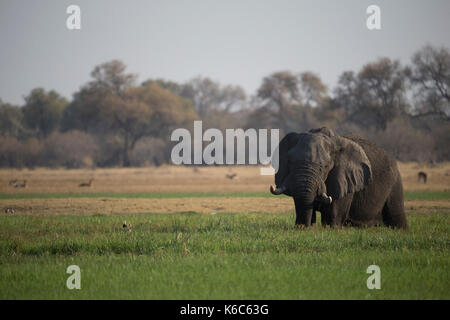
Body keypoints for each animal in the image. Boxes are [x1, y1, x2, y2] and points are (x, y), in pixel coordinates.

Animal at [268, 126, 410, 229]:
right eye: (290, 162)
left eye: (325, 166)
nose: (304, 226)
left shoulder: (345, 178)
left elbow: (333, 214)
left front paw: (330, 228)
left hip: (395, 182)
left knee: (396, 215)